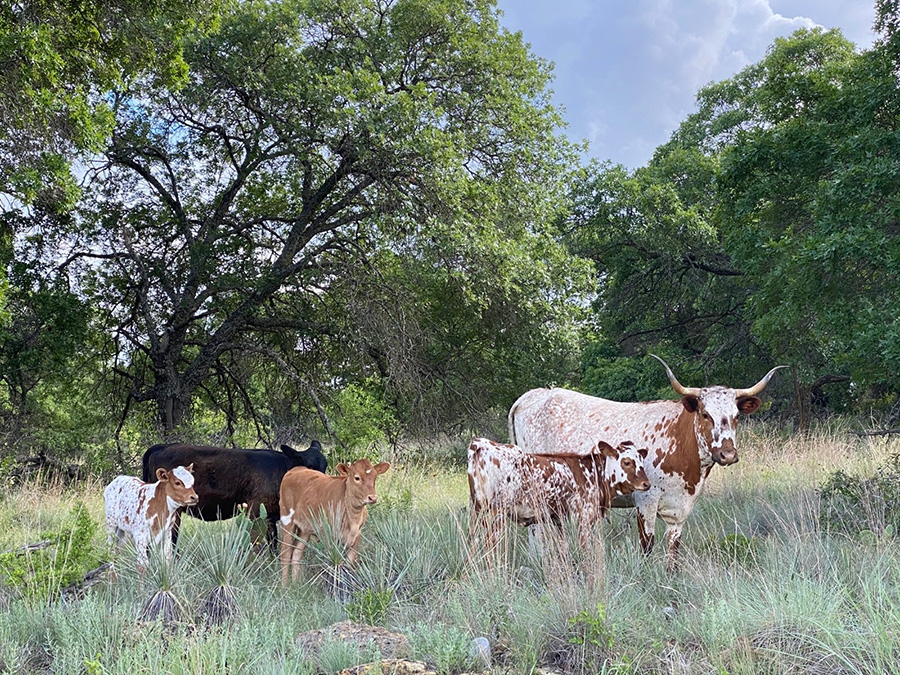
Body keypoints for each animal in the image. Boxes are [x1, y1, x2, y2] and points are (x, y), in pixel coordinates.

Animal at [146, 440, 328, 552]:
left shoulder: (271, 516)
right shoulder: (255, 510)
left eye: (325, 466)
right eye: (309, 466)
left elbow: (273, 542)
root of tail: (160, 447)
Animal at [278, 460, 390, 588]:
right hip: (287, 520)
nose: (372, 497)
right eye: (357, 477)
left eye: (375, 477)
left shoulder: (357, 536)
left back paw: (296, 584)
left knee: (296, 553)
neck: (353, 518)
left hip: (304, 530)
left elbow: (349, 565)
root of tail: (296, 469)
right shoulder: (329, 536)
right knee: (285, 554)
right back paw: (284, 586)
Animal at [468, 438, 652, 556]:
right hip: (496, 512)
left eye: (642, 462)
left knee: (474, 542)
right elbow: (585, 548)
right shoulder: (582, 517)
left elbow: (563, 546)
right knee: (490, 543)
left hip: (477, 512)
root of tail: (481, 443)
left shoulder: (558, 518)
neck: (592, 472)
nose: (646, 484)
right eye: (627, 462)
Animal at [510, 354, 784, 572]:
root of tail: (534, 395)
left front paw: (671, 576)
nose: (728, 454)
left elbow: (674, 545)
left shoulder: (681, 507)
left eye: (736, 416)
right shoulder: (646, 499)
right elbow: (647, 543)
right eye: (705, 415)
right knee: (535, 530)